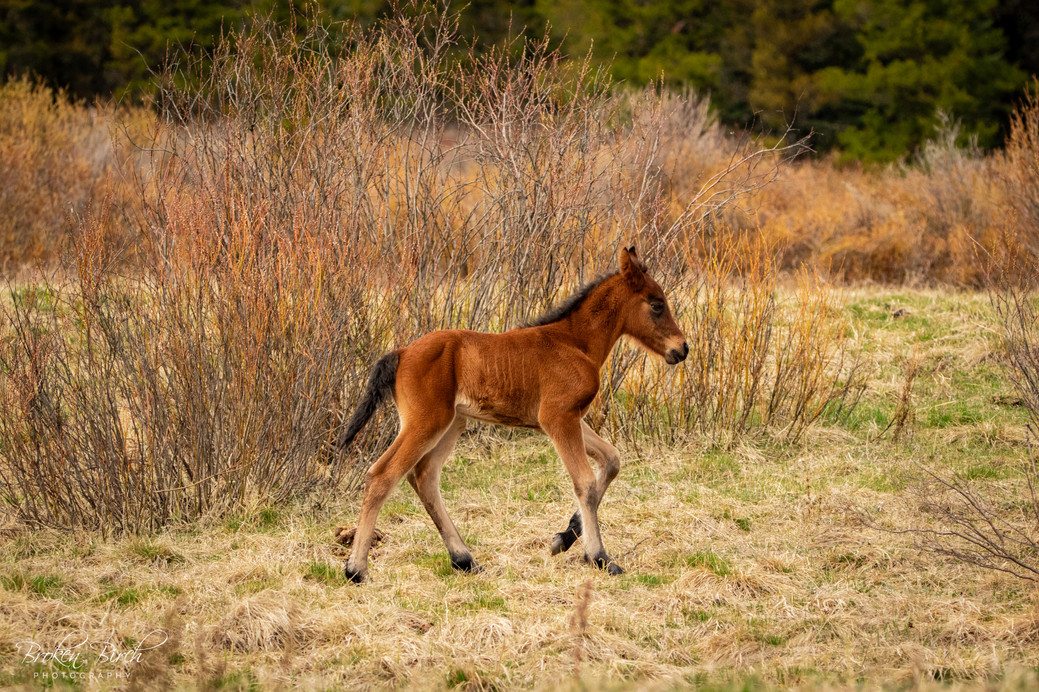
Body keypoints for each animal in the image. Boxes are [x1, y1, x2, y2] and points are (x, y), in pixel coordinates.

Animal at [335, 246, 688, 582]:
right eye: (656, 304)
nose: (681, 349)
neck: (575, 343)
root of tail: (401, 352)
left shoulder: (566, 419)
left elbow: (612, 460)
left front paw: (564, 538)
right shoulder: (558, 419)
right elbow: (585, 482)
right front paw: (599, 557)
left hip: (453, 422)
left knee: (424, 477)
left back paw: (465, 560)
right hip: (427, 422)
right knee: (382, 475)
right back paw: (356, 569)